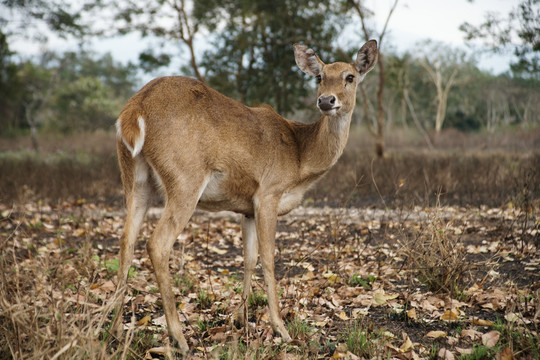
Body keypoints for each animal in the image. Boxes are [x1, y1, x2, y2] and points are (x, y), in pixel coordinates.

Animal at [112, 39, 378, 354]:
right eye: (319, 77)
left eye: (350, 76)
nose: (326, 101)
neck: (300, 157)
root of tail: (133, 112)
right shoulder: (268, 194)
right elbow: (269, 259)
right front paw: (280, 329)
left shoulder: (247, 208)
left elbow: (248, 258)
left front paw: (240, 319)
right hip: (184, 179)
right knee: (156, 243)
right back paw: (179, 339)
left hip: (135, 178)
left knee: (126, 240)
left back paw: (116, 329)